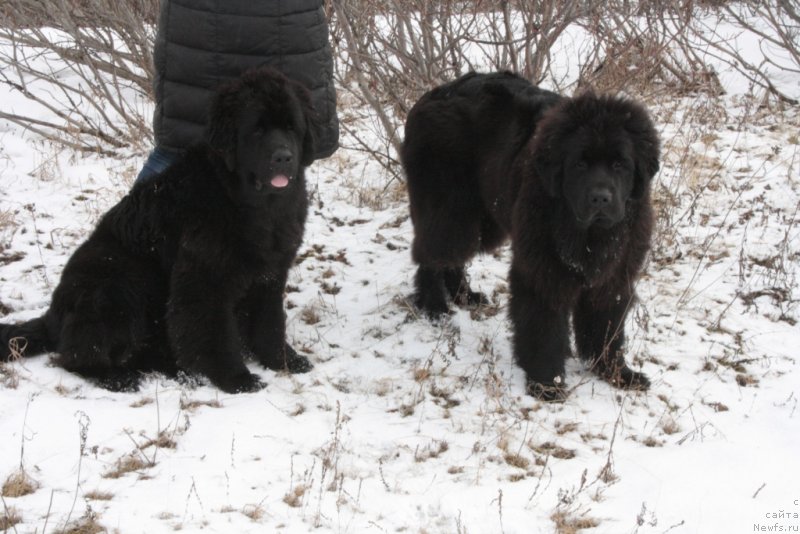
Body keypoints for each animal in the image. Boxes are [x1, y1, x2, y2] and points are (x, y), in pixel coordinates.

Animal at [1, 66, 318, 394]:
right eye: (257, 130)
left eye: (292, 128)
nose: (283, 157)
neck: (254, 205)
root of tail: (52, 315)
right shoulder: (204, 277)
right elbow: (214, 331)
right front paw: (235, 378)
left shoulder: (270, 273)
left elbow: (269, 323)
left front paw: (283, 360)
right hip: (115, 282)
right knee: (77, 354)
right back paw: (117, 376)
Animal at [404, 71, 660, 402]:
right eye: (579, 164)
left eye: (620, 164)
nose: (601, 198)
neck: (589, 234)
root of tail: (430, 96)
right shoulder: (542, 270)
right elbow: (543, 326)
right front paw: (547, 383)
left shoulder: (613, 275)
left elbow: (606, 326)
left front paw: (616, 372)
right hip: (449, 209)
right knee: (433, 254)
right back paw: (434, 307)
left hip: (483, 216)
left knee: (453, 257)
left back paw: (465, 296)